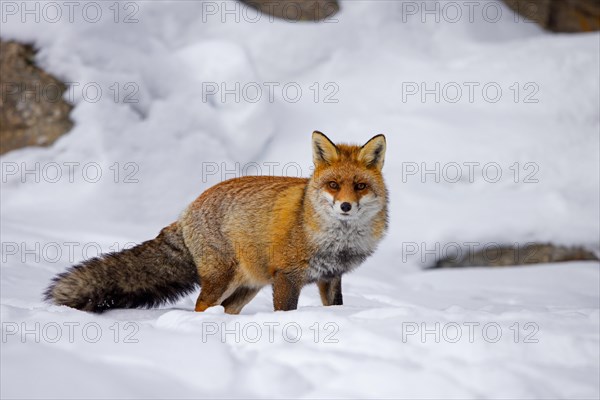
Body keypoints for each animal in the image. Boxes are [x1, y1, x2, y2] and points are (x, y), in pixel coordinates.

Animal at [43, 133, 390, 314]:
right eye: (333, 185)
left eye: (359, 186)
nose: (345, 206)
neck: (336, 241)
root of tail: (188, 209)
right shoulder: (287, 277)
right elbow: (284, 312)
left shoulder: (331, 278)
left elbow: (336, 306)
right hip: (222, 280)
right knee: (201, 305)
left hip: (247, 286)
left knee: (225, 311)